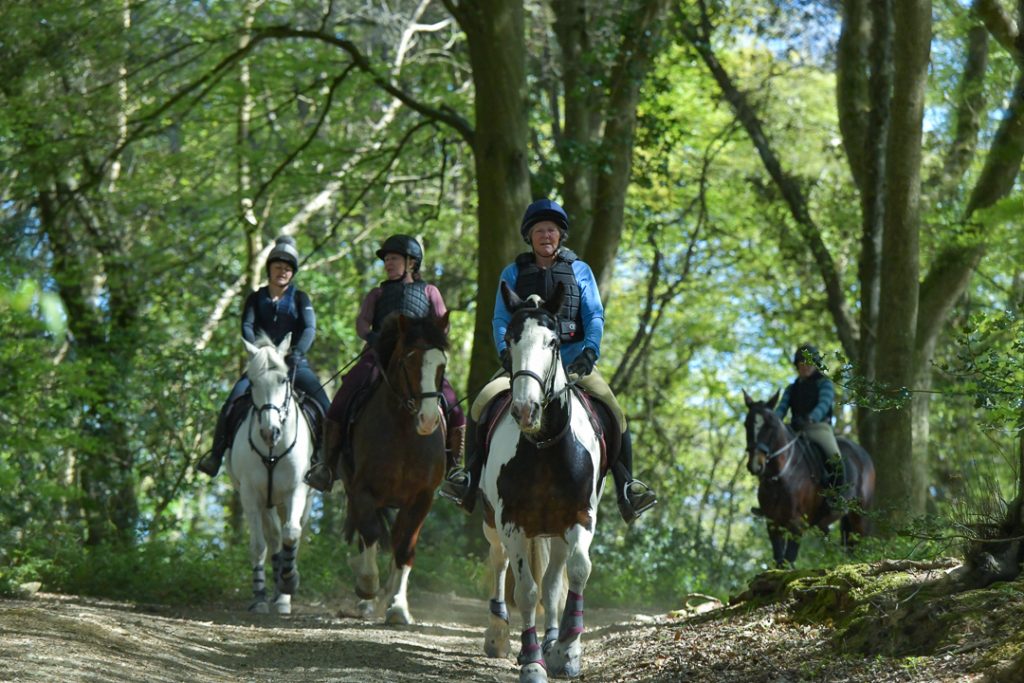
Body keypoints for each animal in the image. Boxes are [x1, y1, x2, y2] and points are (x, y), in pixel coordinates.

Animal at [227, 333, 311, 618]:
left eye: (283, 380)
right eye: (252, 382)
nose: (269, 432)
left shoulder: (297, 489)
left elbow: (292, 534)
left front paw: (289, 583)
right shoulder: (251, 494)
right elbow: (258, 546)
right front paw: (260, 597)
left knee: (287, 534)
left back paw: (283, 590)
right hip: (267, 501)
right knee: (273, 538)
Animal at [339, 313, 448, 626]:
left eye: (441, 364)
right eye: (408, 362)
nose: (428, 420)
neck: (403, 432)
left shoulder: (422, 498)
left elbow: (405, 547)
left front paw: (398, 607)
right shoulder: (362, 490)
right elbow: (371, 533)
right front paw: (367, 586)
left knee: (397, 536)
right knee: (368, 534)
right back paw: (368, 599)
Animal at [477, 282, 598, 683]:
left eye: (553, 341)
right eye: (510, 339)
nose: (525, 410)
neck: (544, 447)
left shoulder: (580, 517)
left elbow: (576, 572)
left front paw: (568, 651)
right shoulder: (512, 522)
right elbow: (526, 592)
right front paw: (532, 663)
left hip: (556, 531)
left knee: (554, 581)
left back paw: (552, 641)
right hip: (492, 522)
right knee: (499, 562)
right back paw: (498, 635)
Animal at [741, 389, 876, 565]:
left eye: (770, 426)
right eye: (746, 424)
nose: (755, 465)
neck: (781, 476)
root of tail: (863, 454)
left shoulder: (797, 524)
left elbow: (788, 560)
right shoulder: (773, 524)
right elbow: (779, 560)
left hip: (860, 515)